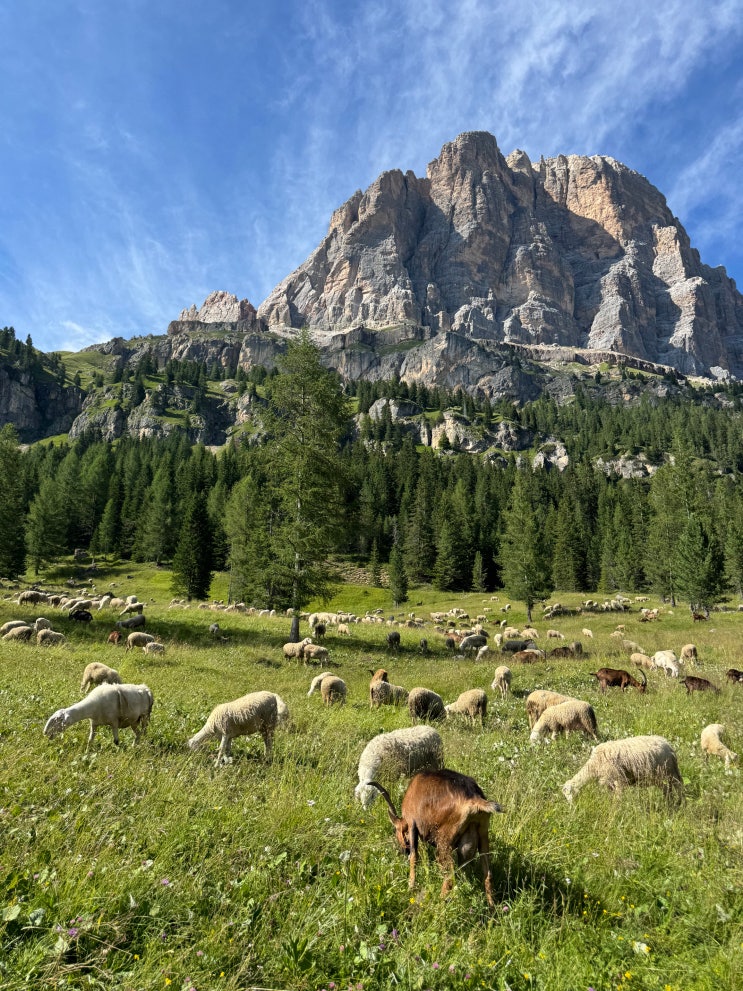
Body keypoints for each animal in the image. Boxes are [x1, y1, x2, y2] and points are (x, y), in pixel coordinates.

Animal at [369, 769, 503, 907]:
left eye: (397, 831)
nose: (403, 851)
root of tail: (474, 799)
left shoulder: (412, 823)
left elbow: (414, 856)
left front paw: (410, 886)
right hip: (483, 835)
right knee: (488, 875)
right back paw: (491, 908)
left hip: (444, 842)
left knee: (449, 877)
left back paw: (438, 903)